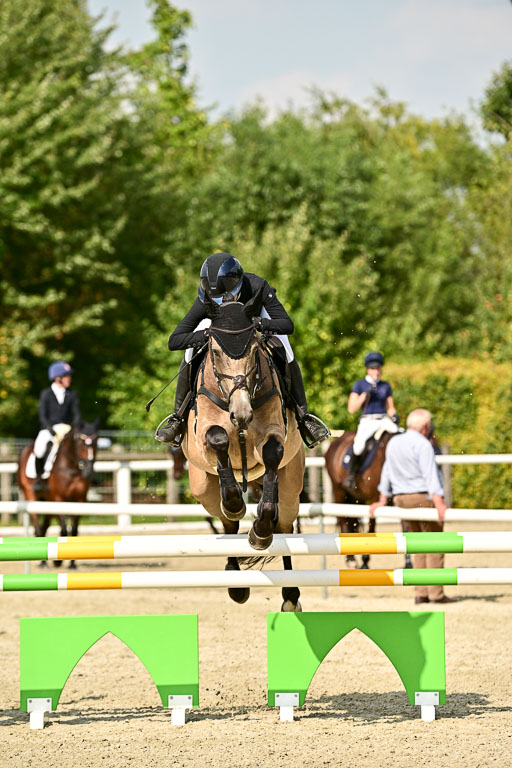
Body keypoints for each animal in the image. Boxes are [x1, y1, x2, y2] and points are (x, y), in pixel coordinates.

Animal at [18, 420, 99, 564]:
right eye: (80, 441)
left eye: (96, 442)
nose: (88, 472)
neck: (71, 468)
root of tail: (25, 450)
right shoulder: (59, 499)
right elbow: (64, 530)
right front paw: (58, 560)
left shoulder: (80, 500)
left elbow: (74, 531)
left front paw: (72, 564)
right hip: (31, 495)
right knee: (38, 526)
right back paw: (44, 562)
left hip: (48, 500)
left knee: (45, 525)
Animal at [181, 292, 305, 612]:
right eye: (215, 351)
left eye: (253, 351)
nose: (241, 413)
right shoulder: (206, 433)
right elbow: (218, 439)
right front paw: (235, 502)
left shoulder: (273, 435)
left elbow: (272, 453)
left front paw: (260, 531)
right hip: (202, 487)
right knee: (227, 523)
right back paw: (236, 582)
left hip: (291, 487)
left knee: (284, 527)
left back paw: (290, 595)